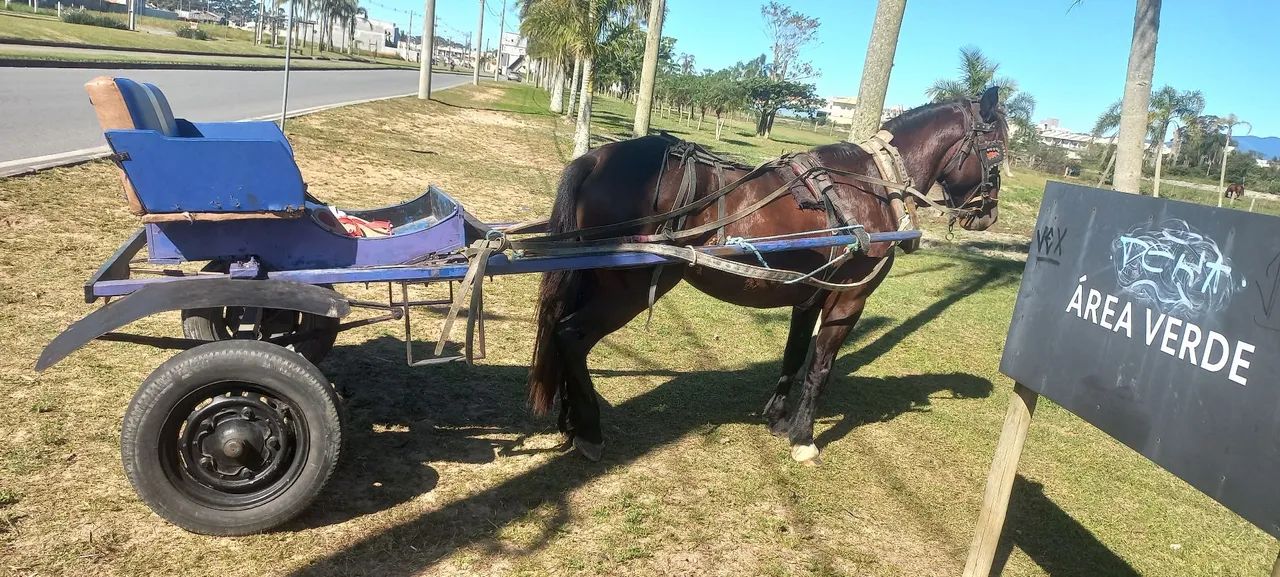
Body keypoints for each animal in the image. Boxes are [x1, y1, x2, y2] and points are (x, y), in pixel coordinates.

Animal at [527, 87, 1008, 464]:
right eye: (997, 151)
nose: (987, 215)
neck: (872, 184)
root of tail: (596, 157)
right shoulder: (849, 298)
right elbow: (821, 367)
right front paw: (803, 437)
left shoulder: (809, 294)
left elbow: (794, 356)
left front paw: (777, 418)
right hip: (624, 288)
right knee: (570, 336)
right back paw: (589, 430)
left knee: (560, 333)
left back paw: (571, 421)